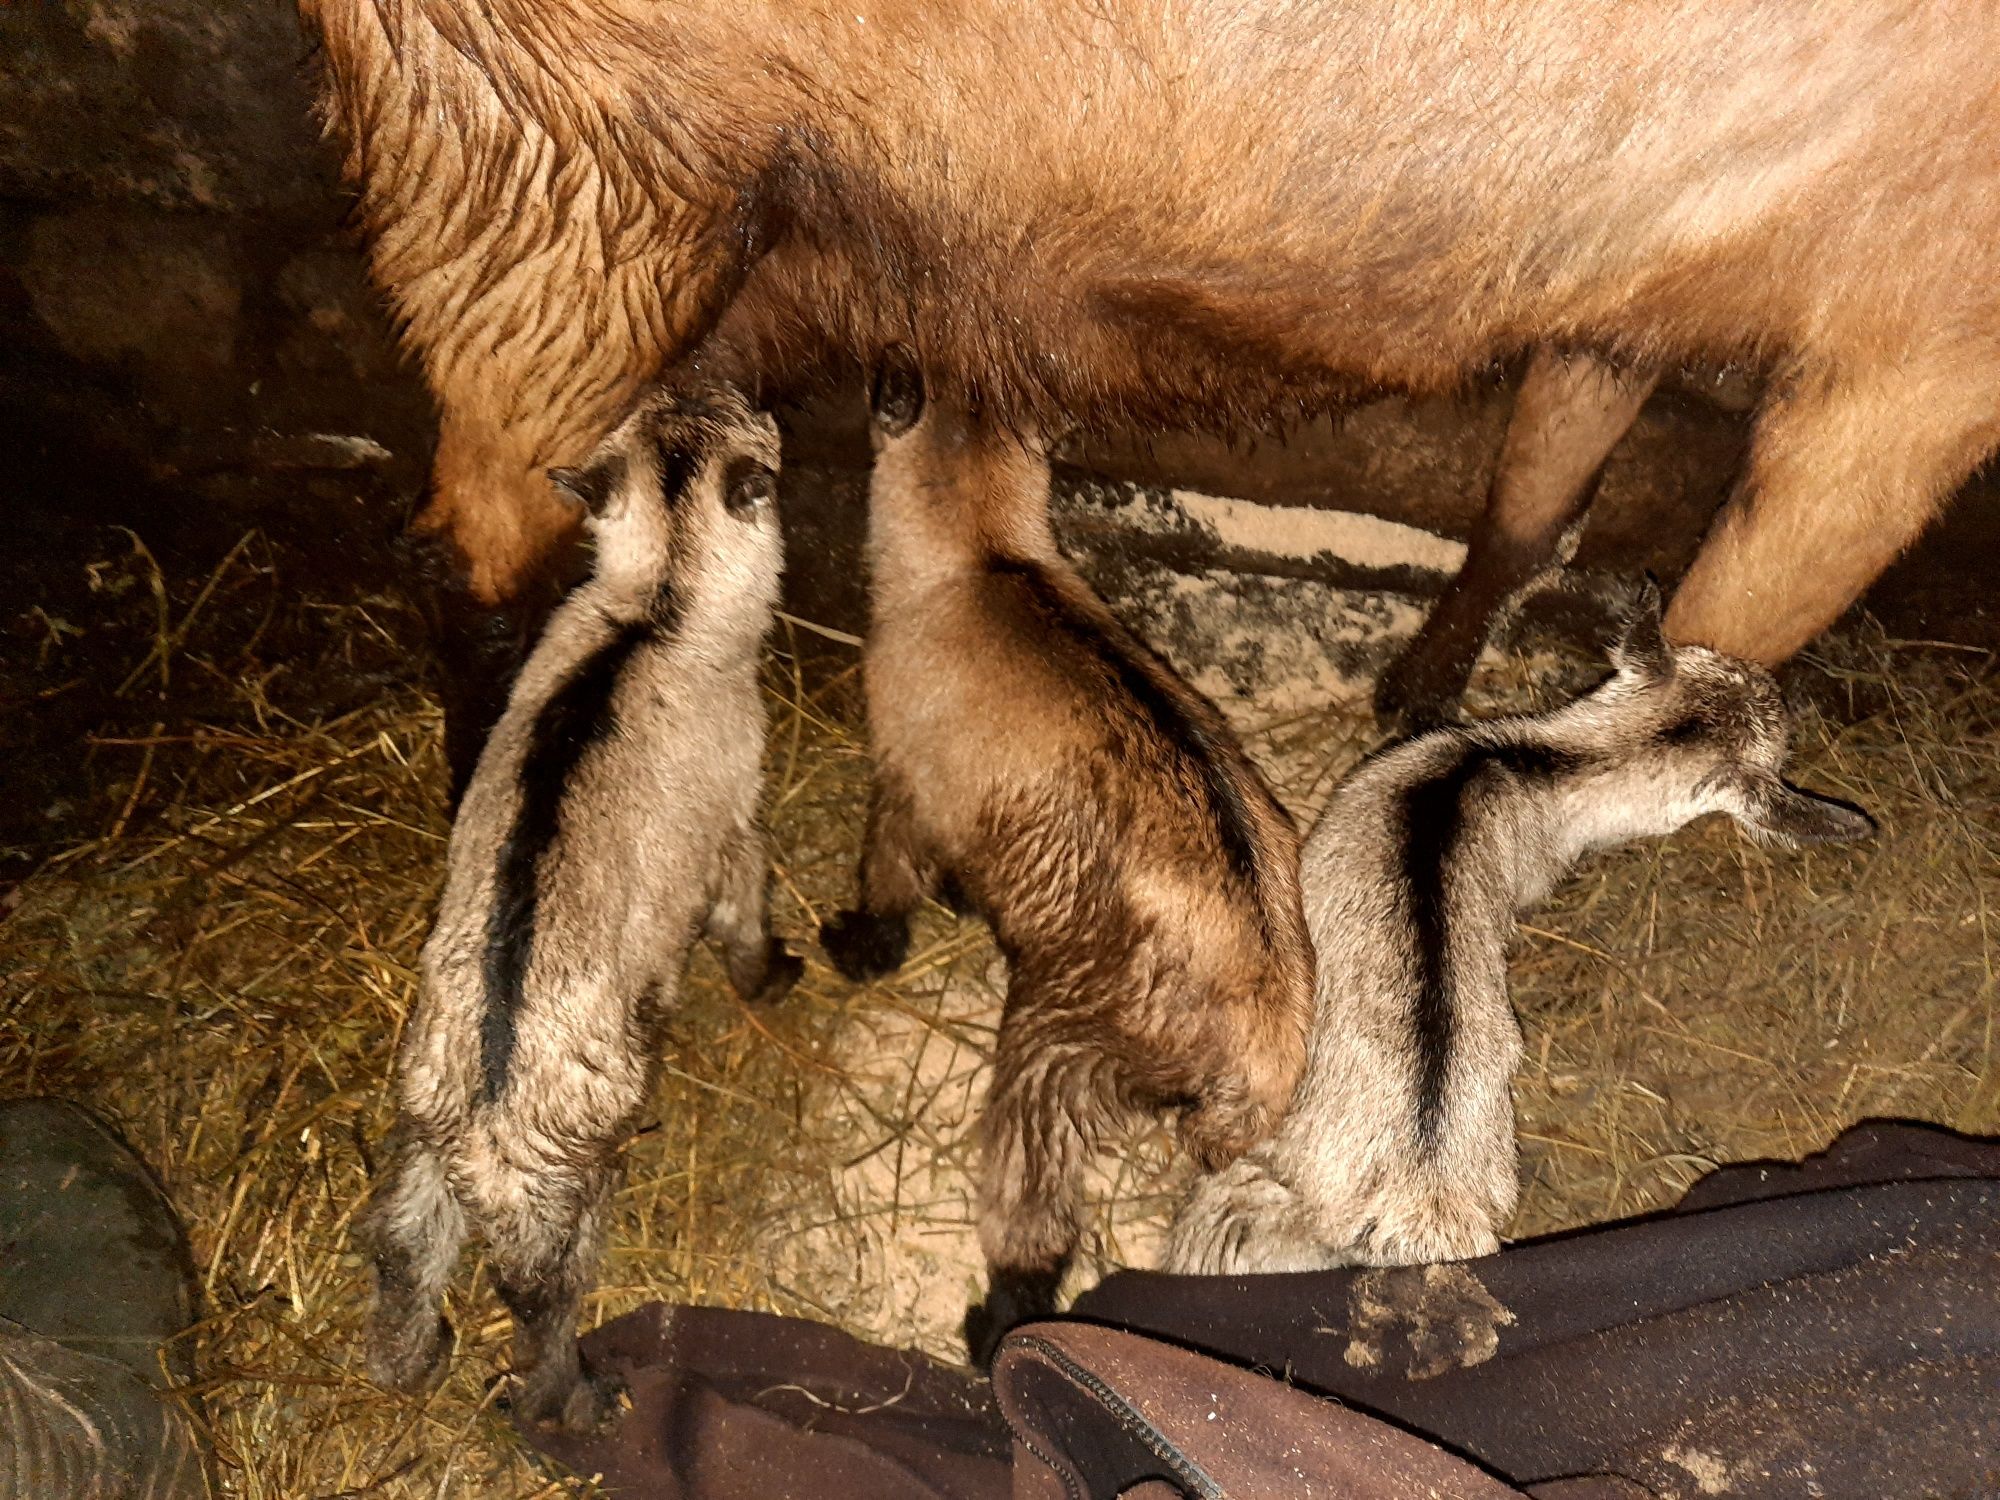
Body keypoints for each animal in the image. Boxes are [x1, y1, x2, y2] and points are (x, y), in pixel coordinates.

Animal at [296, 0, 2000, 752]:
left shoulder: (1614, 283)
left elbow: (1530, 502)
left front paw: (1416, 704)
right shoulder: (1918, 355)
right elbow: (1713, 662)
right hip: (548, 165)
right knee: (479, 543)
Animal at [828, 356, 1328, 1376]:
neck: (983, 559)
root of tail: (1263, 1036)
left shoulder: (904, 778)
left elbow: (889, 876)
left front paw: (861, 946)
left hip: (1054, 1049)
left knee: (1032, 1201)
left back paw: (999, 1325)